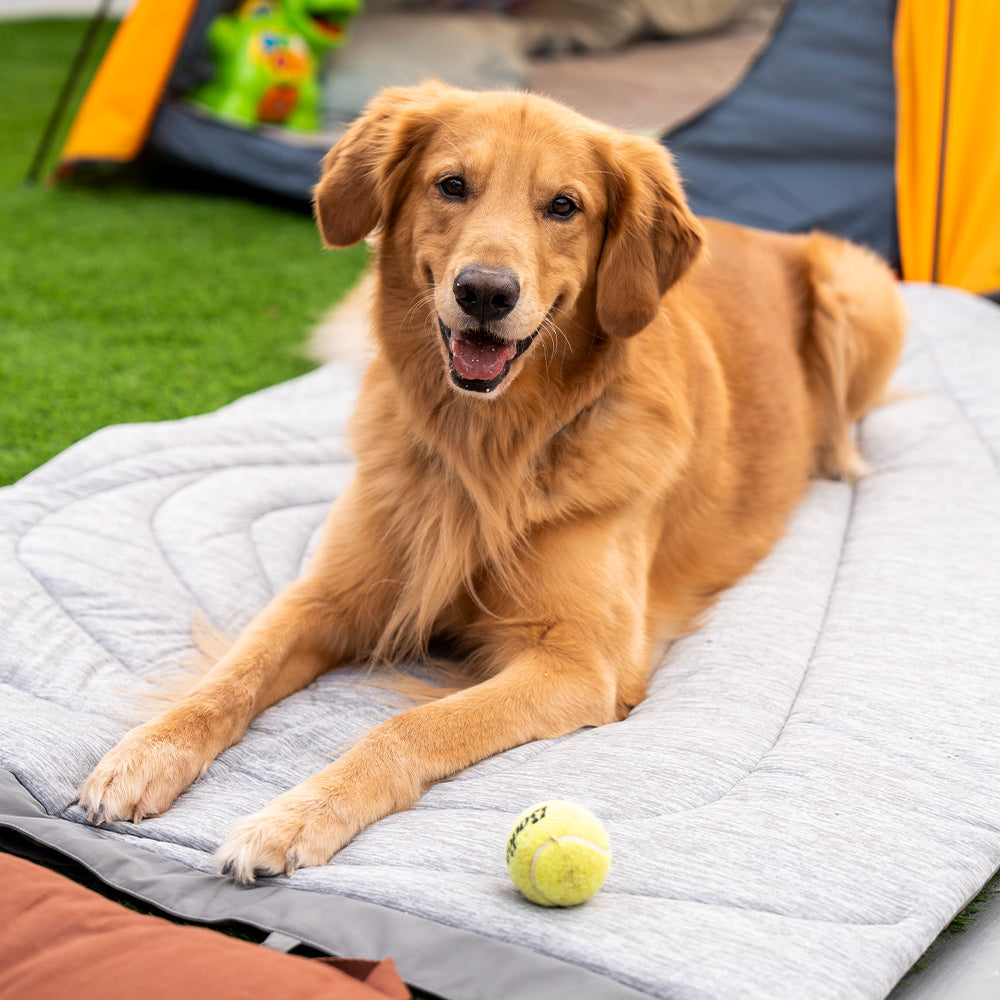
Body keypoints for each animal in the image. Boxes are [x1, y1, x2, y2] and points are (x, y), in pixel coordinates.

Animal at [80, 86, 908, 884]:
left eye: (564, 206)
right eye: (452, 185)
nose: (484, 292)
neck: (485, 447)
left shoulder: (577, 661)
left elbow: (408, 725)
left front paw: (295, 818)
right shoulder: (332, 594)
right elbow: (229, 678)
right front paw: (145, 754)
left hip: (859, 288)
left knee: (847, 421)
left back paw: (838, 462)